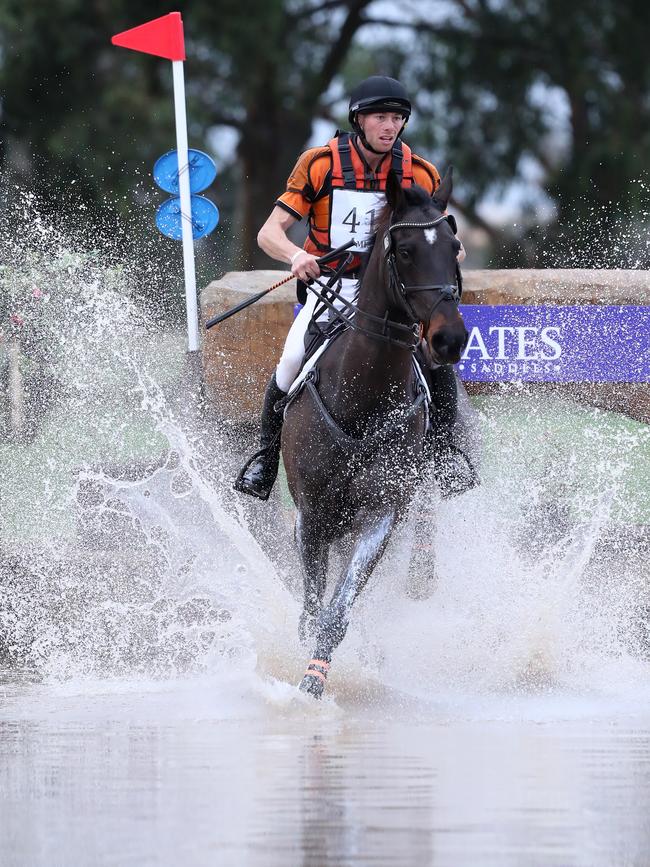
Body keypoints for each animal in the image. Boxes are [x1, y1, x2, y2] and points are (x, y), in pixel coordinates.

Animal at [280, 170, 466, 700]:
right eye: (403, 249)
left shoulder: (381, 513)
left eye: (454, 245)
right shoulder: (313, 518)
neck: (364, 392)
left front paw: (313, 681)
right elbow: (311, 610)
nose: (450, 339)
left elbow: (336, 613)